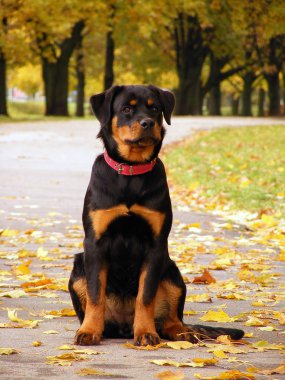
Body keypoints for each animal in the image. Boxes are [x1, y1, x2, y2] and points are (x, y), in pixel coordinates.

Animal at [67, 84, 243, 346]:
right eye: (126, 109)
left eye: (155, 108)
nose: (147, 122)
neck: (131, 172)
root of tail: (122, 327)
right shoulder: (95, 243)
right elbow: (95, 294)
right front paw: (89, 331)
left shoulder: (156, 245)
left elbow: (146, 296)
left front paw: (146, 332)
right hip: (79, 266)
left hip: (171, 271)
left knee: (171, 318)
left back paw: (181, 332)